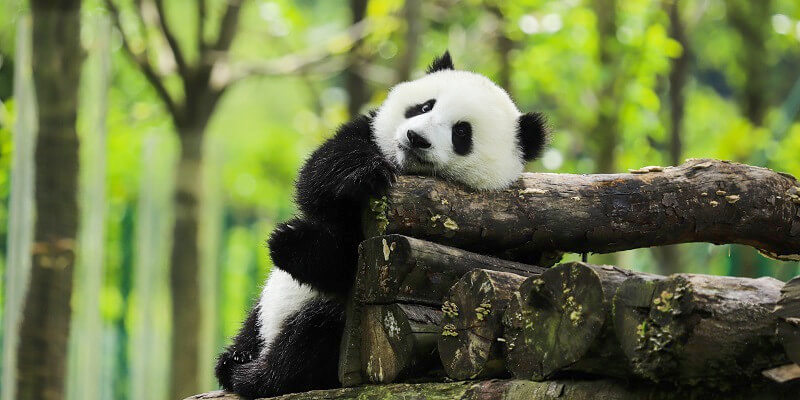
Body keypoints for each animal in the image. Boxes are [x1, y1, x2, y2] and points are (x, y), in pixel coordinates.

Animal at [214, 52, 549, 397]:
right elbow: (320, 177)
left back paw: (256, 374)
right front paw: (363, 175)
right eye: (425, 106)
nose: (416, 138)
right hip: (264, 310)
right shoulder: (368, 136)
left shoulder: (496, 232)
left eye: (461, 133)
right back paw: (233, 359)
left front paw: (300, 246)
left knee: (312, 337)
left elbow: (349, 261)